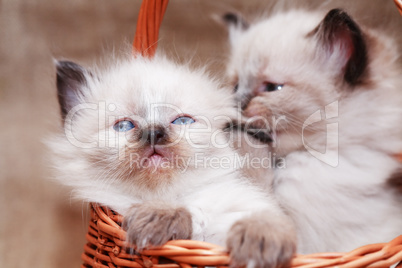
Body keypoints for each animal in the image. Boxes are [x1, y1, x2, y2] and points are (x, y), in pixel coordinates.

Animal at [49, 55, 296, 268]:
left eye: (182, 121)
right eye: (124, 126)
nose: (153, 134)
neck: (169, 195)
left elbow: (263, 219)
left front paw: (259, 245)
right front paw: (159, 217)